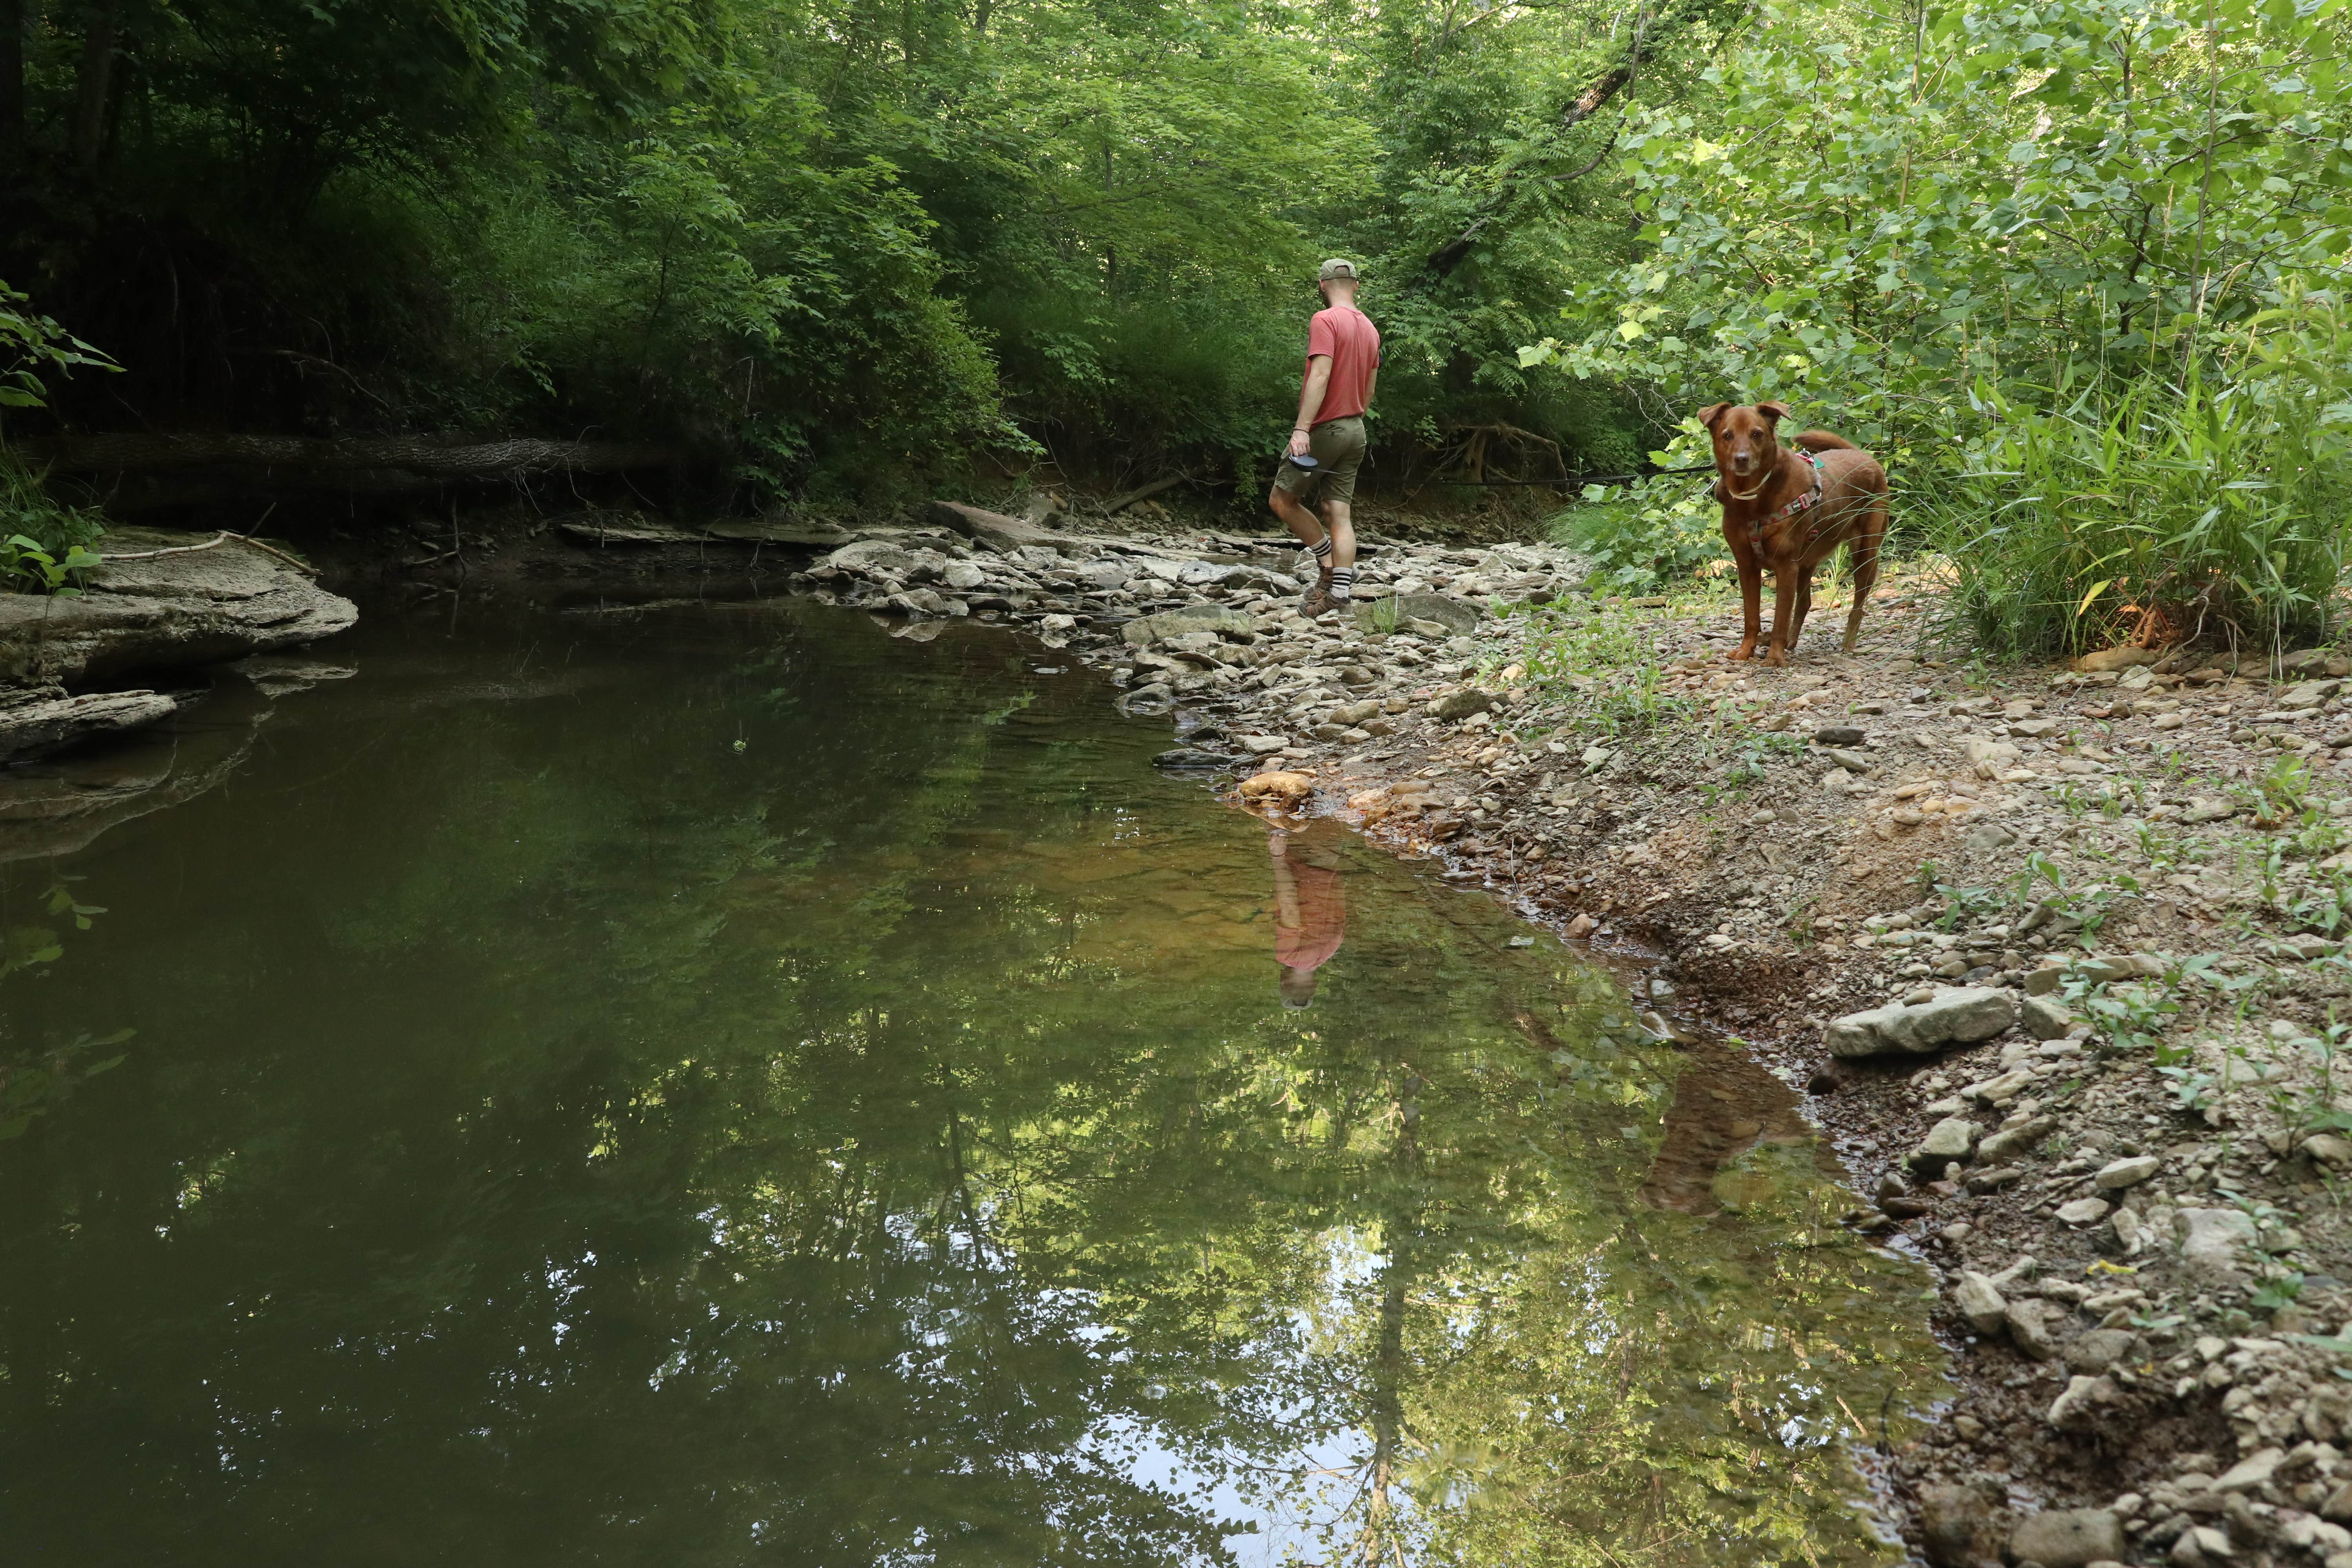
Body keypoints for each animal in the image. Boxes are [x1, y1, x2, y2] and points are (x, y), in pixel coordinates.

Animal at [1693, 402, 1891, 668]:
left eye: (1757, 433)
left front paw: (1775, 657)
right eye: (1728, 435)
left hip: (1865, 553)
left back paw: (1847, 643)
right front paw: (1746, 651)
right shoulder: (1747, 566)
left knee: (1858, 605)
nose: (1741, 459)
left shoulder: (1786, 565)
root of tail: (1862, 455)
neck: (1753, 501)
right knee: (1805, 602)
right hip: (1808, 559)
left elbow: (1780, 617)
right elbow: (1751, 617)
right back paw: (1791, 641)